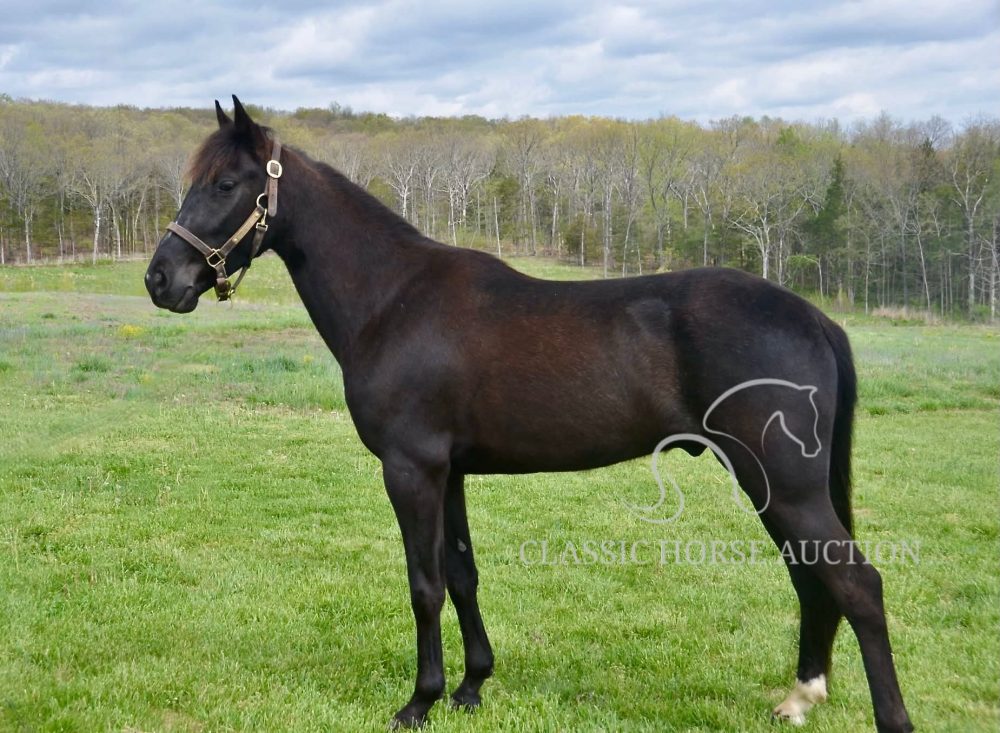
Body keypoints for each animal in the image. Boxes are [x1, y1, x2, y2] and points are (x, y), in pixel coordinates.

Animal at [145, 97, 913, 732]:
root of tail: (814, 317)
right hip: (773, 486)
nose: (160, 279)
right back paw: (800, 696)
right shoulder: (449, 471)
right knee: (812, 579)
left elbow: (424, 584)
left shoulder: (410, 469)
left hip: (784, 486)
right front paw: (471, 687)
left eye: (225, 184)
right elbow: (461, 575)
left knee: (857, 585)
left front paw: (419, 701)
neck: (393, 298)